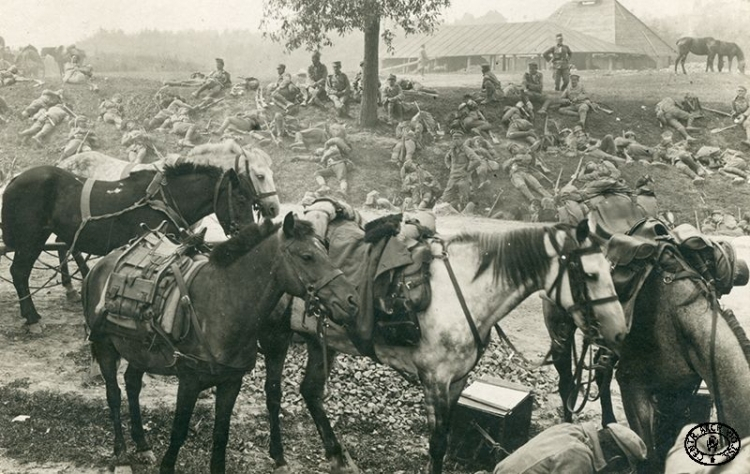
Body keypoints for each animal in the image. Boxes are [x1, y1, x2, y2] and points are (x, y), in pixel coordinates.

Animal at [0, 163, 258, 334]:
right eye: (241, 199)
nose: (251, 234)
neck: (165, 199)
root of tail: (14, 180)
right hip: (31, 239)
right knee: (19, 272)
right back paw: (32, 318)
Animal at [82, 215, 362, 474]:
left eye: (326, 250)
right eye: (307, 256)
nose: (351, 301)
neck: (222, 302)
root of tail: (100, 265)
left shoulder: (231, 382)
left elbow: (221, 434)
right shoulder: (189, 381)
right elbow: (179, 430)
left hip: (140, 352)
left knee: (132, 384)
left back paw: (142, 445)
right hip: (105, 347)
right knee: (114, 394)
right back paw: (121, 454)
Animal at [256, 198, 632, 472]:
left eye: (610, 269)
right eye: (590, 274)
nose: (619, 333)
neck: (465, 291)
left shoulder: (457, 380)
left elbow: (447, 438)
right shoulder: (434, 380)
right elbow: (437, 444)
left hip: (321, 343)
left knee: (310, 392)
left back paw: (337, 455)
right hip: (275, 337)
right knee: (274, 393)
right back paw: (278, 454)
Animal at [548, 231, 750, 470]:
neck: (677, 320)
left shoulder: (680, 389)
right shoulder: (632, 385)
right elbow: (648, 457)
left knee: (601, 373)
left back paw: (610, 424)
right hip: (560, 331)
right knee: (566, 381)